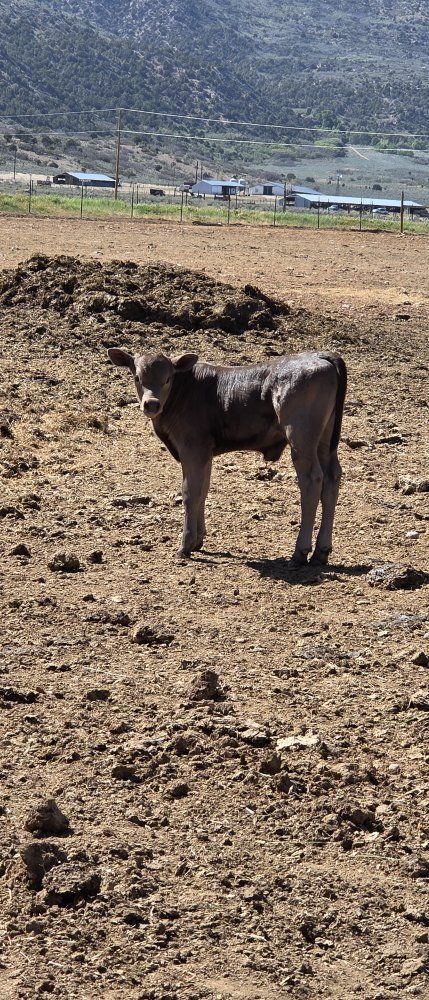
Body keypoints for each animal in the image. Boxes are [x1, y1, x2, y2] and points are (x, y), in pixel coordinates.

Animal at [107, 348, 347, 564]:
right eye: (137, 377)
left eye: (167, 378)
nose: (151, 404)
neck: (186, 390)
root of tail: (319, 355)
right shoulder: (205, 452)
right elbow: (203, 490)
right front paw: (198, 540)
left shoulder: (192, 448)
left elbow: (190, 492)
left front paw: (185, 544)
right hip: (325, 442)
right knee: (331, 479)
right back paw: (321, 552)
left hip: (301, 439)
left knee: (312, 480)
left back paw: (300, 551)